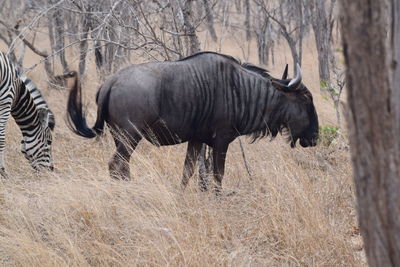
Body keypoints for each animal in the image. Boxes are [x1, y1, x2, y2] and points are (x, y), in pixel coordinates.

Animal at [0, 51, 54, 179]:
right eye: (49, 142)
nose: (51, 170)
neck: (17, 92)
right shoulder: (5, 101)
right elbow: (1, 137)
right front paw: (3, 171)